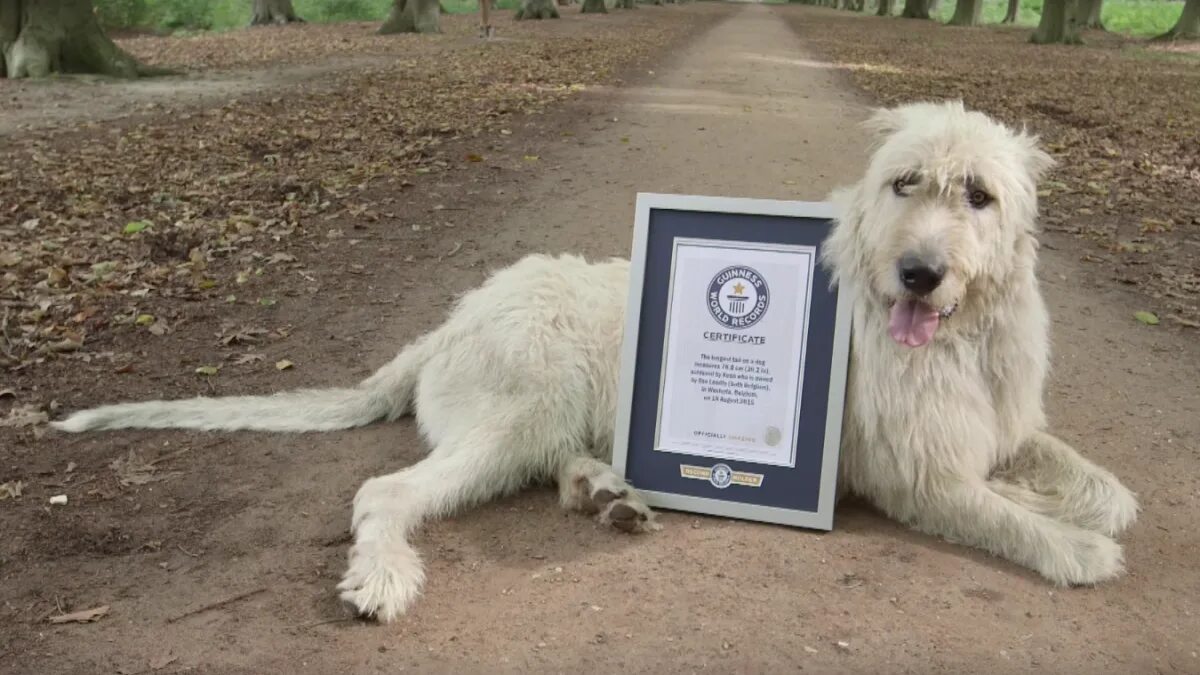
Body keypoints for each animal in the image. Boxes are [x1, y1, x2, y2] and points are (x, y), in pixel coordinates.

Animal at [51, 98, 1137, 619]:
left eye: (979, 195)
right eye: (906, 181)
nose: (918, 272)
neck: (956, 336)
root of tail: (448, 322)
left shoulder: (1005, 421)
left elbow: (1085, 475)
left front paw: (1079, 497)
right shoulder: (918, 475)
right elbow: (999, 511)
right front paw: (1069, 542)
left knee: (550, 467)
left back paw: (606, 492)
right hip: (522, 405)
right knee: (385, 492)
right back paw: (387, 575)